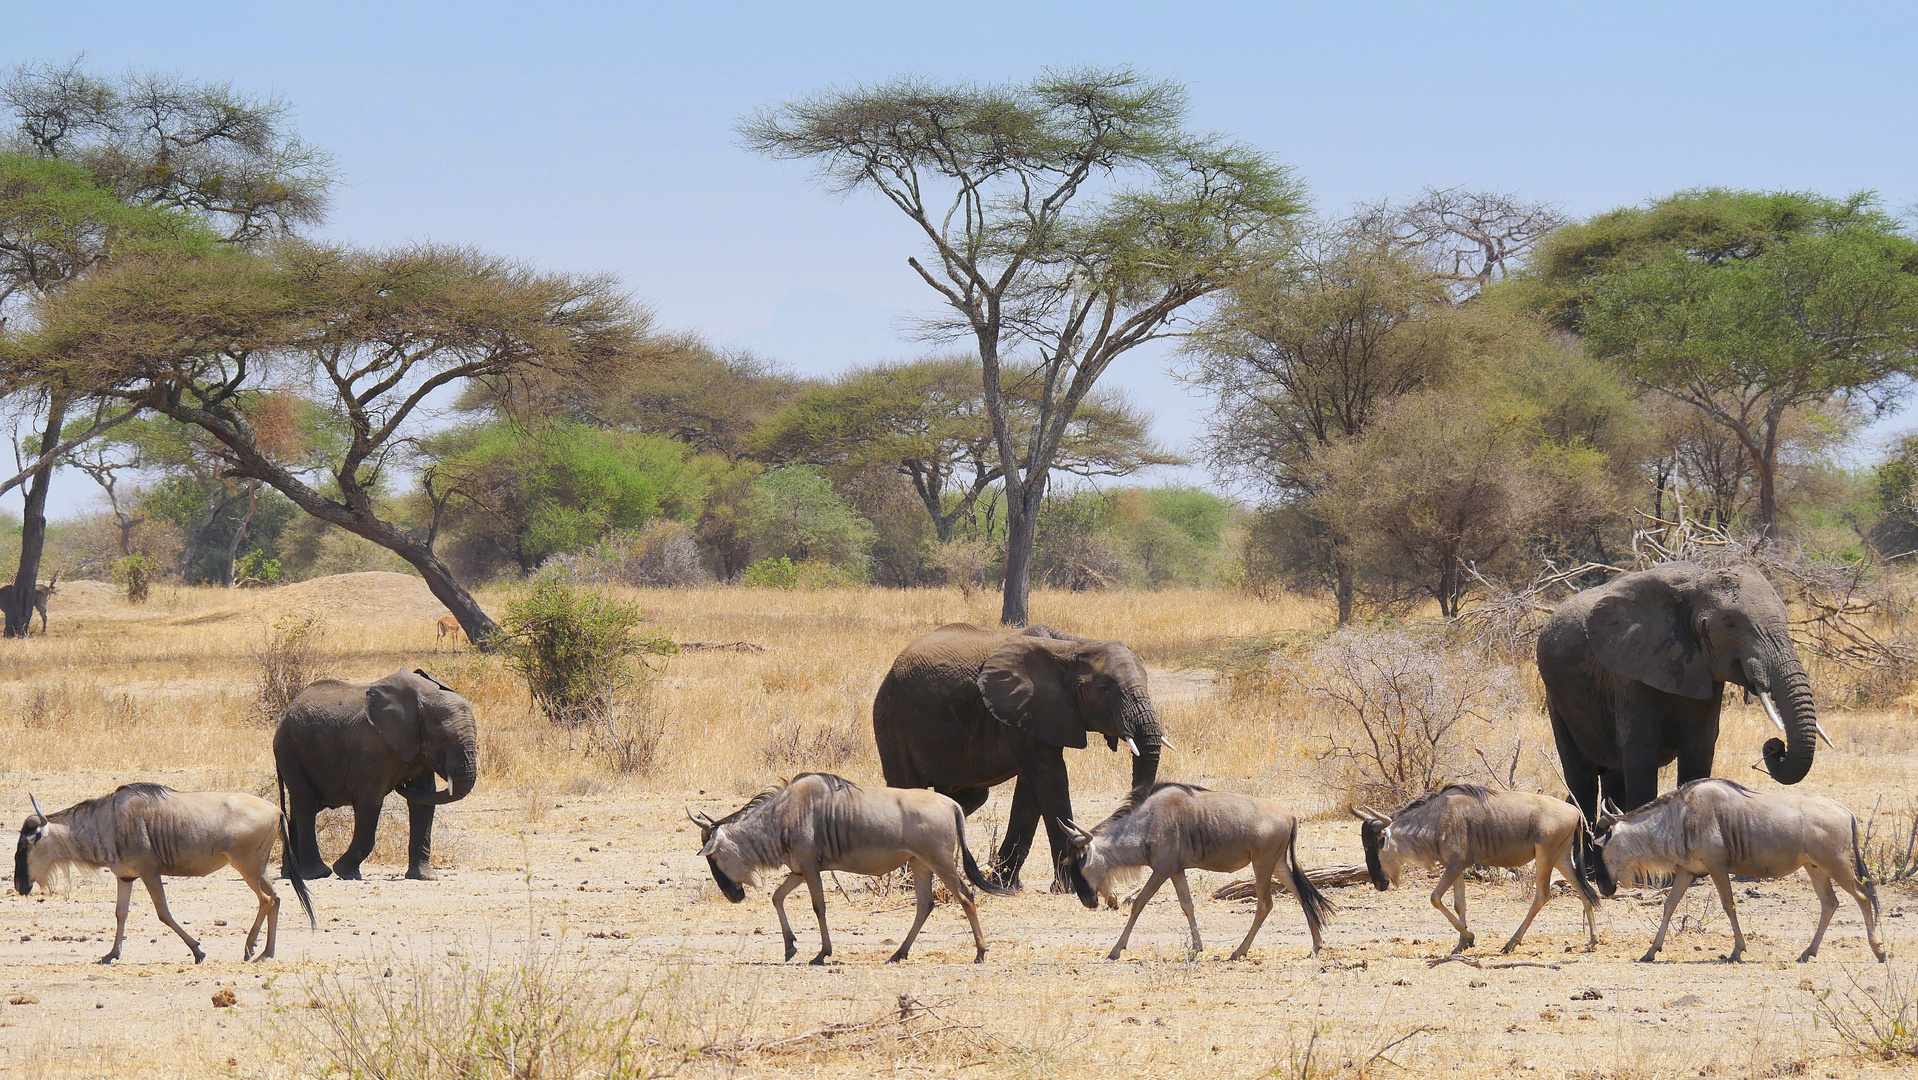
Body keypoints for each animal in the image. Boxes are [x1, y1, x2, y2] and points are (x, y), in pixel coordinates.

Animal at [272, 667, 477, 886]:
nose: (401, 785)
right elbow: (369, 802)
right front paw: (347, 873)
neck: (422, 700)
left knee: (300, 806)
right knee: (306, 804)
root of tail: (285, 714)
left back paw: (290, 873)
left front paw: (424, 877)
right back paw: (317, 873)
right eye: (443, 738)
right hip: (289, 751)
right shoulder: (371, 749)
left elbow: (422, 802)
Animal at [874, 621, 1166, 890]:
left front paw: (1005, 884)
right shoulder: (1025, 708)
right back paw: (909, 883)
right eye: (1104, 690)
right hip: (893, 717)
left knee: (971, 796)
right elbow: (1049, 777)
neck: (1074, 646)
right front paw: (1069, 887)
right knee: (907, 785)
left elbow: (1031, 790)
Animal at [1534, 563, 1818, 824]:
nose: (1775, 747)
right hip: (1556, 697)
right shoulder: (1631, 670)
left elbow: (1699, 749)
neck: (1694, 583)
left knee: (1611, 778)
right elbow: (1641, 751)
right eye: (1730, 624)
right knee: (1582, 782)